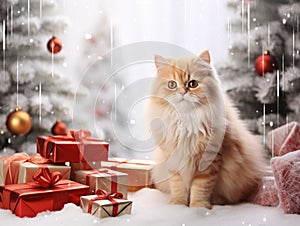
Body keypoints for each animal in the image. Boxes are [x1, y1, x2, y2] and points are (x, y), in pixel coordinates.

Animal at [149, 50, 264, 208]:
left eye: (193, 84)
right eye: (172, 84)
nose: (182, 93)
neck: (186, 119)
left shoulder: (209, 160)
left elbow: (201, 188)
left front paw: (198, 206)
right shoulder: (173, 158)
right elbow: (178, 186)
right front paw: (178, 204)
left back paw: (217, 201)